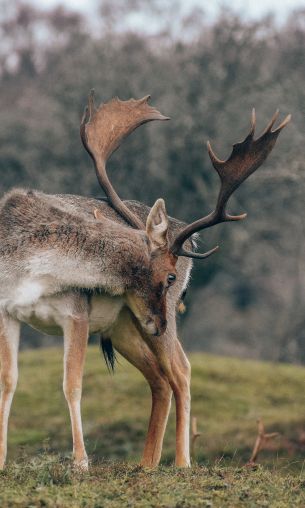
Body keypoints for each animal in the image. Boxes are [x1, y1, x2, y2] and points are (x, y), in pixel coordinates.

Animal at [0, 88, 290, 472]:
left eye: (171, 277)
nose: (160, 323)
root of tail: (187, 237)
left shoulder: (76, 314)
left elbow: (72, 384)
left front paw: (81, 463)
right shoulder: (6, 310)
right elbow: (8, 382)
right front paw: (2, 460)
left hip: (141, 326)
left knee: (181, 370)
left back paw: (182, 463)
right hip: (124, 325)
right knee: (159, 378)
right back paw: (147, 464)